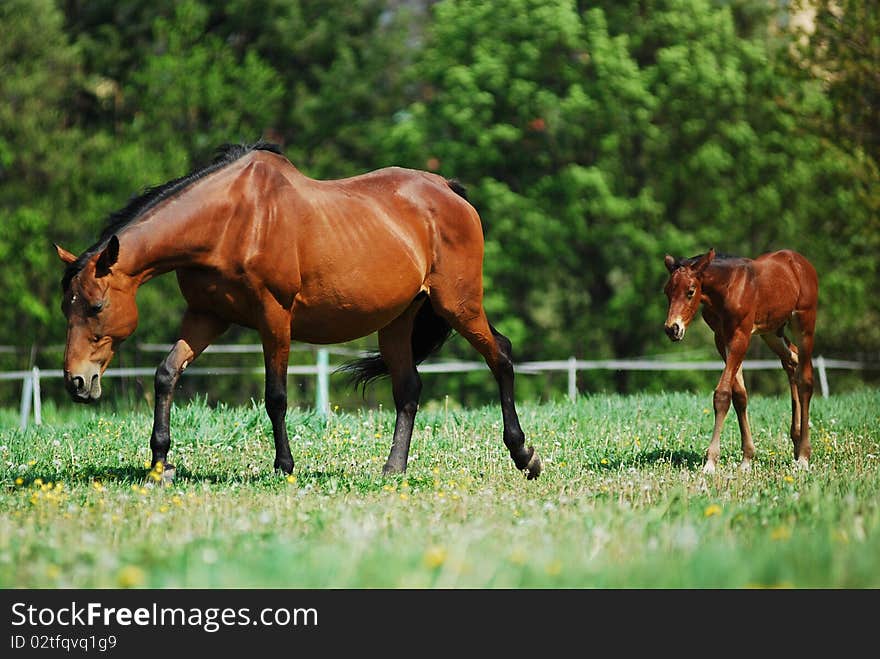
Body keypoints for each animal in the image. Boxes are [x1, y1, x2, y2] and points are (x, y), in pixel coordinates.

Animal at [55, 143, 540, 480]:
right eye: (66, 308)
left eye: (96, 306)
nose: (78, 381)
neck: (233, 219)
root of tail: (448, 191)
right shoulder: (206, 316)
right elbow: (166, 374)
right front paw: (160, 463)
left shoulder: (274, 317)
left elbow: (276, 396)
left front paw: (283, 466)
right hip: (398, 321)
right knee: (408, 389)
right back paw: (393, 469)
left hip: (459, 305)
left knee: (500, 356)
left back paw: (524, 455)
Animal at [668, 249, 820, 474]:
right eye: (666, 291)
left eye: (690, 291)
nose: (672, 329)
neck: (727, 288)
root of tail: (801, 262)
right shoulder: (722, 338)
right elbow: (739, 395)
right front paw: (747, 458)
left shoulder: (741, 337)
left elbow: (722, 394)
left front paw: (710, 462)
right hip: (772, 331)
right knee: (792, 360)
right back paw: (796, 440)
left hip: (804, 323)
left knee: (806, 379)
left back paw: (803, 456)